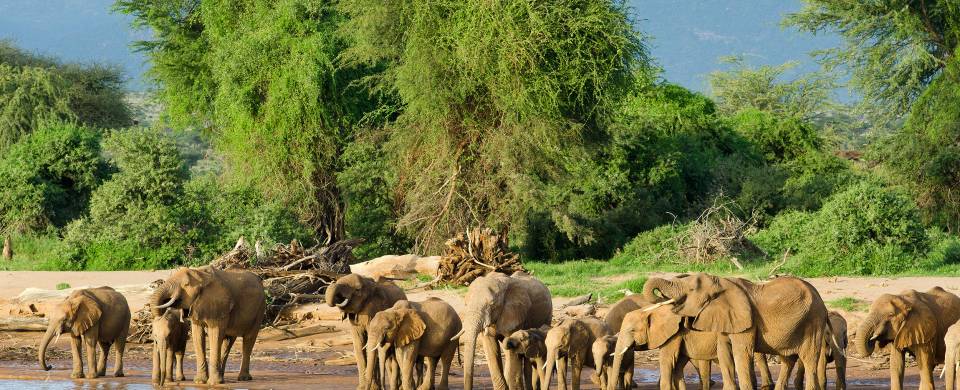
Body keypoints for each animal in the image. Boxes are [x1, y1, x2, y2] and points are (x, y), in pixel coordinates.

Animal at [640, 274, 828, 390]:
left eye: (691, 290)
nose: (661, 297)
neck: (721, 282)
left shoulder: (747, 321)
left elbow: (741, 354)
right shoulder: (725, 318)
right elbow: (724, 353)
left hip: (813, 320)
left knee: (809, 358)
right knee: (788, 359)